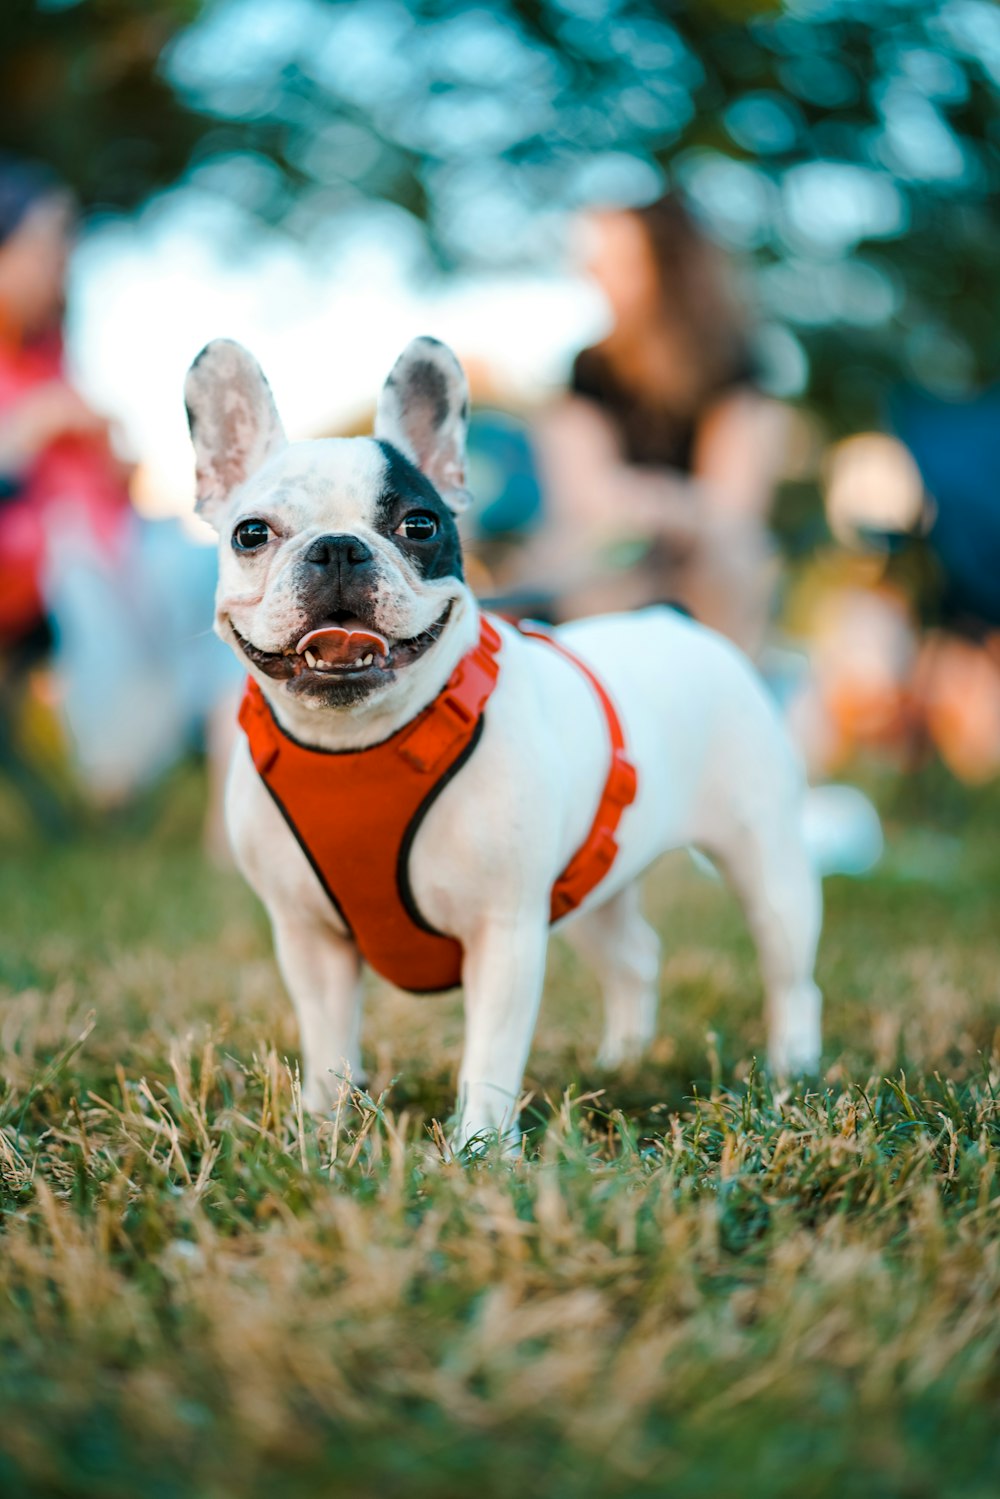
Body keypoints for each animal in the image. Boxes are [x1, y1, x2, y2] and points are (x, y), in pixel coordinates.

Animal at [185, 334, 821, 1139]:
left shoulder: (505, 930)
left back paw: (793, 1071)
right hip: (592, 885)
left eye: (419, 525)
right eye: (251, 534)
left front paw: (480, 1146)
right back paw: (624, 1060)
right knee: (634, 956)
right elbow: (328, 1040)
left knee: (789, 970)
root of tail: (677, 622)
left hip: (765, 863)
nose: (337, 548)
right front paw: (323, 1129)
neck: (359, 742)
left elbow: (488, 1055)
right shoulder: (308, 939)